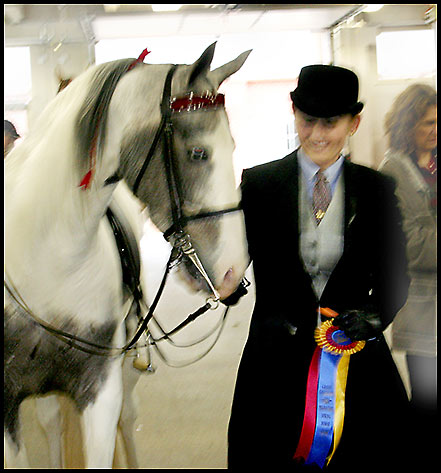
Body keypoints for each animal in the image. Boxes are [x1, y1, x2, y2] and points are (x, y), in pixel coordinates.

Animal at [3, 41, 249, 468]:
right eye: (198, 152)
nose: (234, 271)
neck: (43, 257)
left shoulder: (100, 389)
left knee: (128, 419)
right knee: (51, 422)